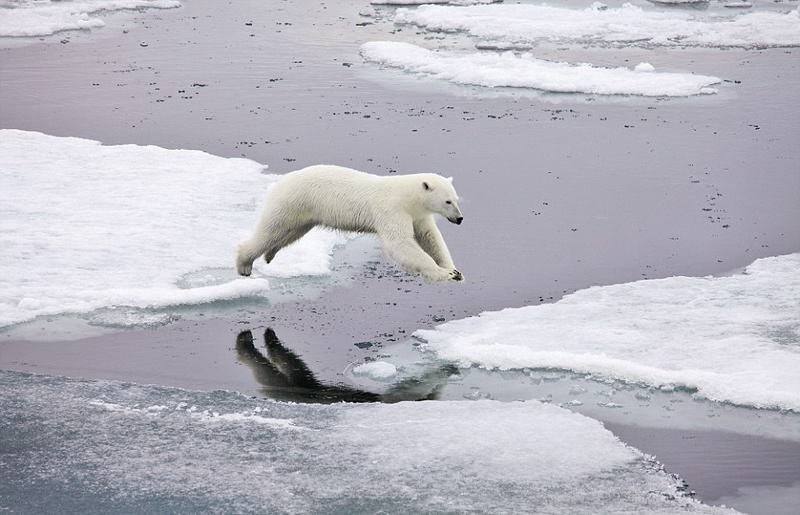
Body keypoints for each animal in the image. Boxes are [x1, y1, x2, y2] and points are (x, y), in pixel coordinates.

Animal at [236, 166, 462, 282]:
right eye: (447, 201)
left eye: (456, 199)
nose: (460, 219)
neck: (407, 196)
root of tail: (280, 181)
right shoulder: (392, 210)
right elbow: (400, 244)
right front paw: (444, 273)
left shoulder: (418, 215)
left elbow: (430, 237)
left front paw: (455, 271)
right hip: (291, 201)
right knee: (270, 229)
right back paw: (244, 264)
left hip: (305, 212)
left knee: (292, 233)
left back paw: (270, 254)